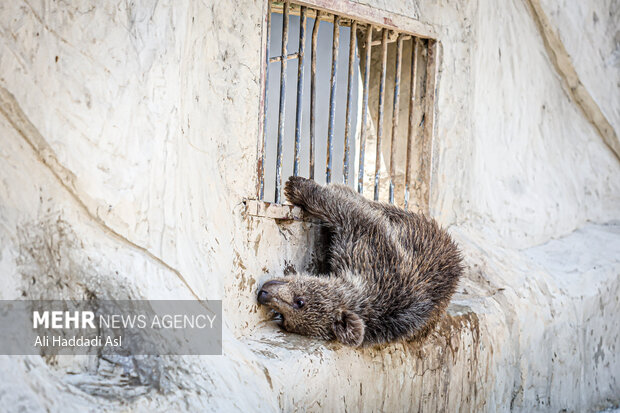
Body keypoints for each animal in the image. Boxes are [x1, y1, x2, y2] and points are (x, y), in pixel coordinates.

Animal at [254, 175, 462, 346]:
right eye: (284, 319)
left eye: (299, 302)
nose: (263, 293)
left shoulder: (369, 247)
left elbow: (344, 208)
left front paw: (297, 187)